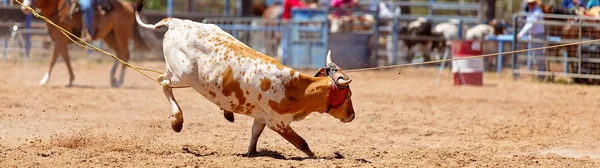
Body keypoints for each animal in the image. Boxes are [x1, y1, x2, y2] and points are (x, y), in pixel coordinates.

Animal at [21, 0, 157, 86]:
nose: (24, 8)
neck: (60, 10)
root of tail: (129, 5)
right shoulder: (61, 40)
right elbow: (66, 59)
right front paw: (71, 79)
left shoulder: (60, 39)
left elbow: (53, 60)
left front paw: (44, 80)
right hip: (110, 35)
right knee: (118, 54)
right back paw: (113, 78)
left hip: (122, 33)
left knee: (125, 54)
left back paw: (119, 81)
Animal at [136, 0, 354, 158]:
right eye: (347, 95)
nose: (352, 116)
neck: (295, 88)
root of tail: (176, 22)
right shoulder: (278, 123)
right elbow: (302, 143)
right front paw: (315, 157)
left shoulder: (261, 118)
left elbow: (255, 134)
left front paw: (250, 153)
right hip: (182, 76)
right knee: (163, 83)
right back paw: (177, 120)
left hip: (177, 73)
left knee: (162, 79)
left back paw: (226, 112)